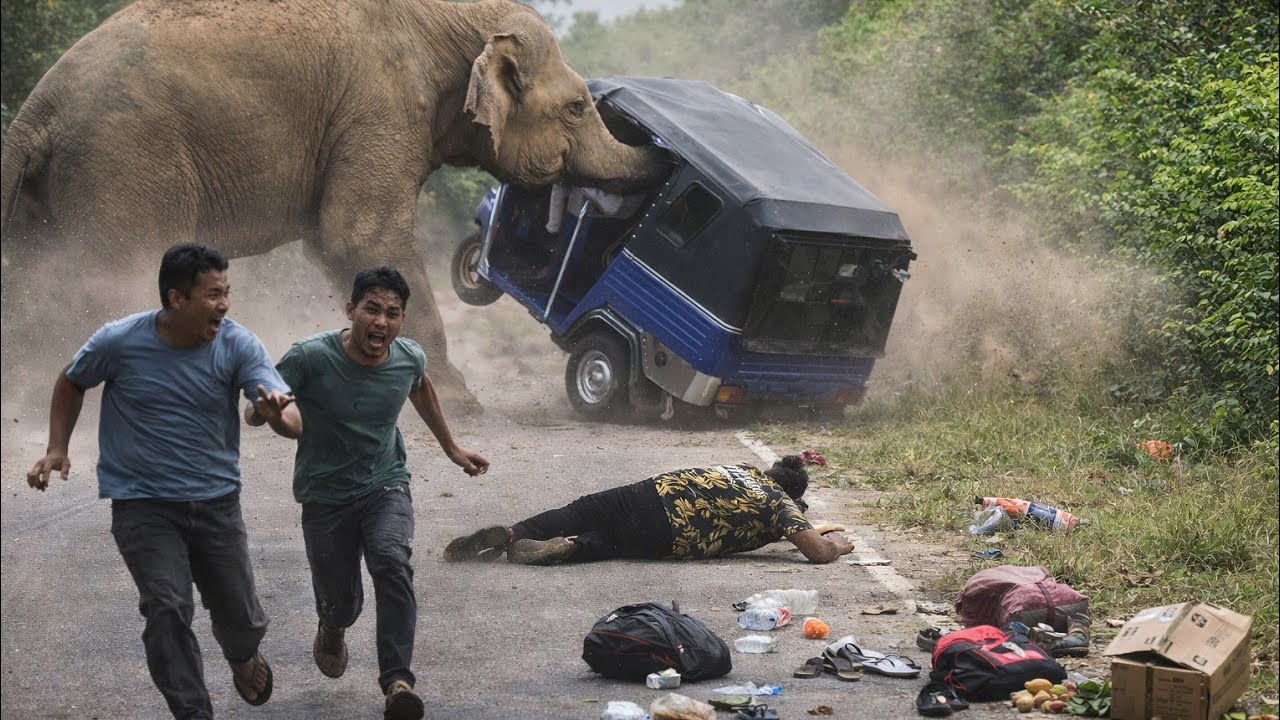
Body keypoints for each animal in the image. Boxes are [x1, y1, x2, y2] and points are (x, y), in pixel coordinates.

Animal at [0, 0, 669, 414]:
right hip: (126, 166)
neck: (454, 17)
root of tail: (33, 115)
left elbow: (334, 244)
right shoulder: (379, 105)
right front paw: (459, 403)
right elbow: (358, 235)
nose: (667, 151)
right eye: (579, 107)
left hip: (54, 195)